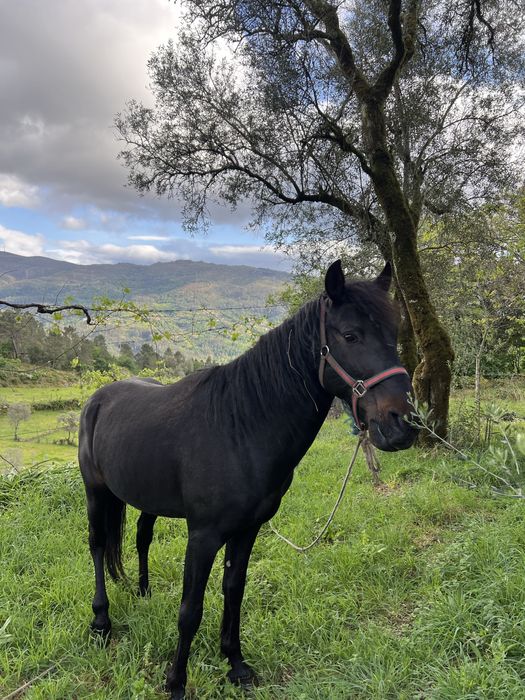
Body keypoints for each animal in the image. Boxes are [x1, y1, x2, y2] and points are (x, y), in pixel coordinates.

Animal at [78, 260, 417, 699]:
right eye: (350, 335)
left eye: (394, 333)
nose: (402, 424)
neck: (240, 426)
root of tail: (98, 398)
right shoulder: (203, 535)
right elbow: (191, 609)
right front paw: (176, 682)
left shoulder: (247, 529)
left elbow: (233, 591)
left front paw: (236, 664)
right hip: (95, 492)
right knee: (99, 545)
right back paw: (101, 622)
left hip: (144, 497)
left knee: (140, 536)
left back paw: (144, 593)